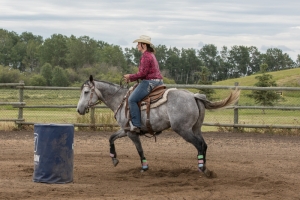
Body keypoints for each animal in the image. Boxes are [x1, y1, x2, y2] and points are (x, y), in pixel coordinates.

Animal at [76, 75, 240, 178]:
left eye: (86, 92)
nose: (79, 109)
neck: (120, 100)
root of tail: (194, 96)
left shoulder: (132, 133)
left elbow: (139, 149)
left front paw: (144, 168)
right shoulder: (125, 130)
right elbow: (111, 138)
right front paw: (114, 159)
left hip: (183, 130)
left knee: (199, 145)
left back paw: (202, 168)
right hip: (196, 128)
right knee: (204, 145)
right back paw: (204, 169)